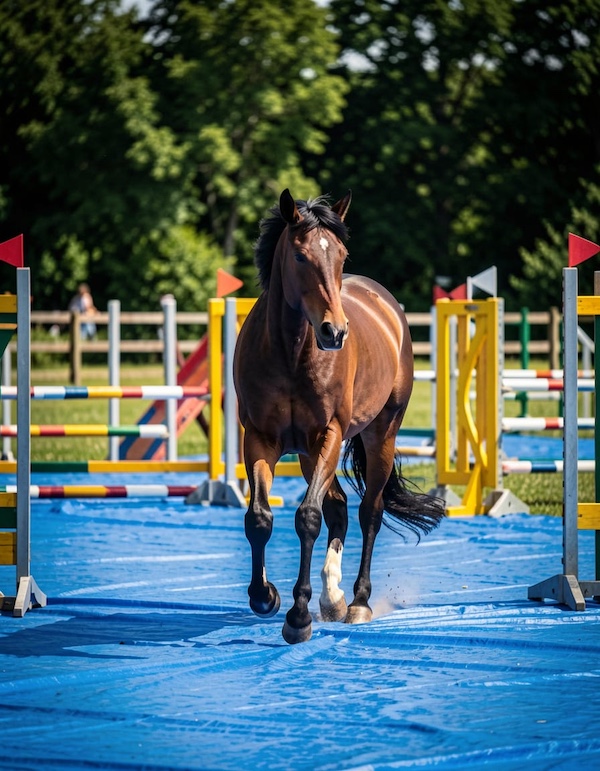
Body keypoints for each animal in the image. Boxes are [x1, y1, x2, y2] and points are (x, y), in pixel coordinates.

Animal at [233, 188, 445, 644]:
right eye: (299, 256)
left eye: (342, 255)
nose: (335, 331)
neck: (291, 351)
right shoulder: (260, 439)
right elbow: (259, 518)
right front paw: (265, 596)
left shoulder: (327, 434)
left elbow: (308, 518)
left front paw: (298, 617)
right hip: (309, 454)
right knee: (341, 507)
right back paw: (332, 598)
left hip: (380, 436)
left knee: (369, 512)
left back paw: (358, 602)